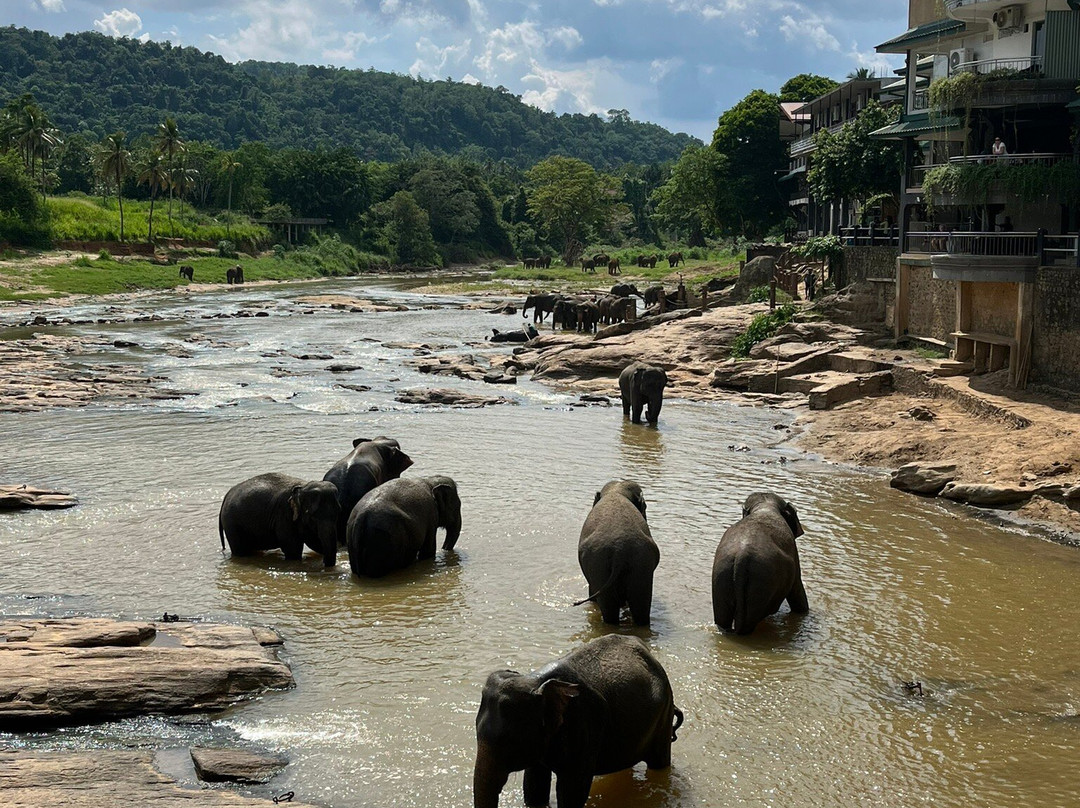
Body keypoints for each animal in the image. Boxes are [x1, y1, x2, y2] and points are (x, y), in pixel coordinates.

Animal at [473, 634, 683, 808]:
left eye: (508, 741)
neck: (536, 681)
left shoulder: (584, 724)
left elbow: (572, 790)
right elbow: (534, 784)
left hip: (663, 715)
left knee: (659, 761)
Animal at [711, 492, 808, 635]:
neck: (765, 507)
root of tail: (742, 557)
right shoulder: (794, 554)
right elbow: (797, 590)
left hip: (721, 577)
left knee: (722, 619)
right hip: (763, 582)